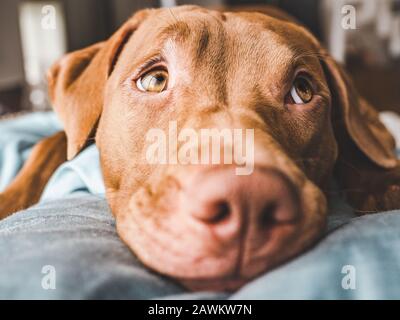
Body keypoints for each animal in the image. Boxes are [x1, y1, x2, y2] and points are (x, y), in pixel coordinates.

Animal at [0, 5, 400, 290]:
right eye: (154, 80)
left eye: (302, 90)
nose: (247, 198)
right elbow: (49, 146)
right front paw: (10, 199)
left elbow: (356, 150)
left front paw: (382, 182)